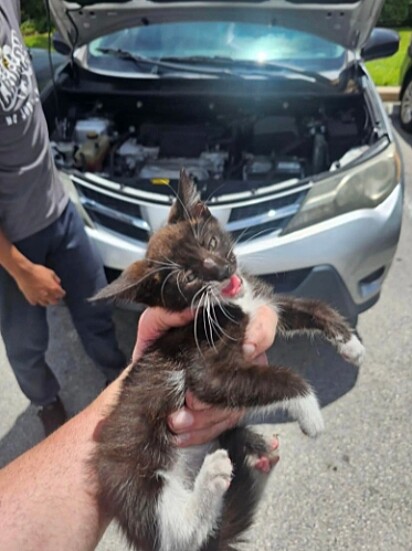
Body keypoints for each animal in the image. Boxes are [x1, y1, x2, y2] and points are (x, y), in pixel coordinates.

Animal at [92, 169, 364, 551]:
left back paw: (260, 454)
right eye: (189, 278)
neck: (229, 303)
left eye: (209, 242)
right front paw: (310, 412)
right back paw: (214, 476)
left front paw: (350, 343)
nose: (221, 270)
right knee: (179, 533)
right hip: (129, 473)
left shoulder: (265, 303)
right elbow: (275, 378)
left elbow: (311, 307)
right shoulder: (204, 367)